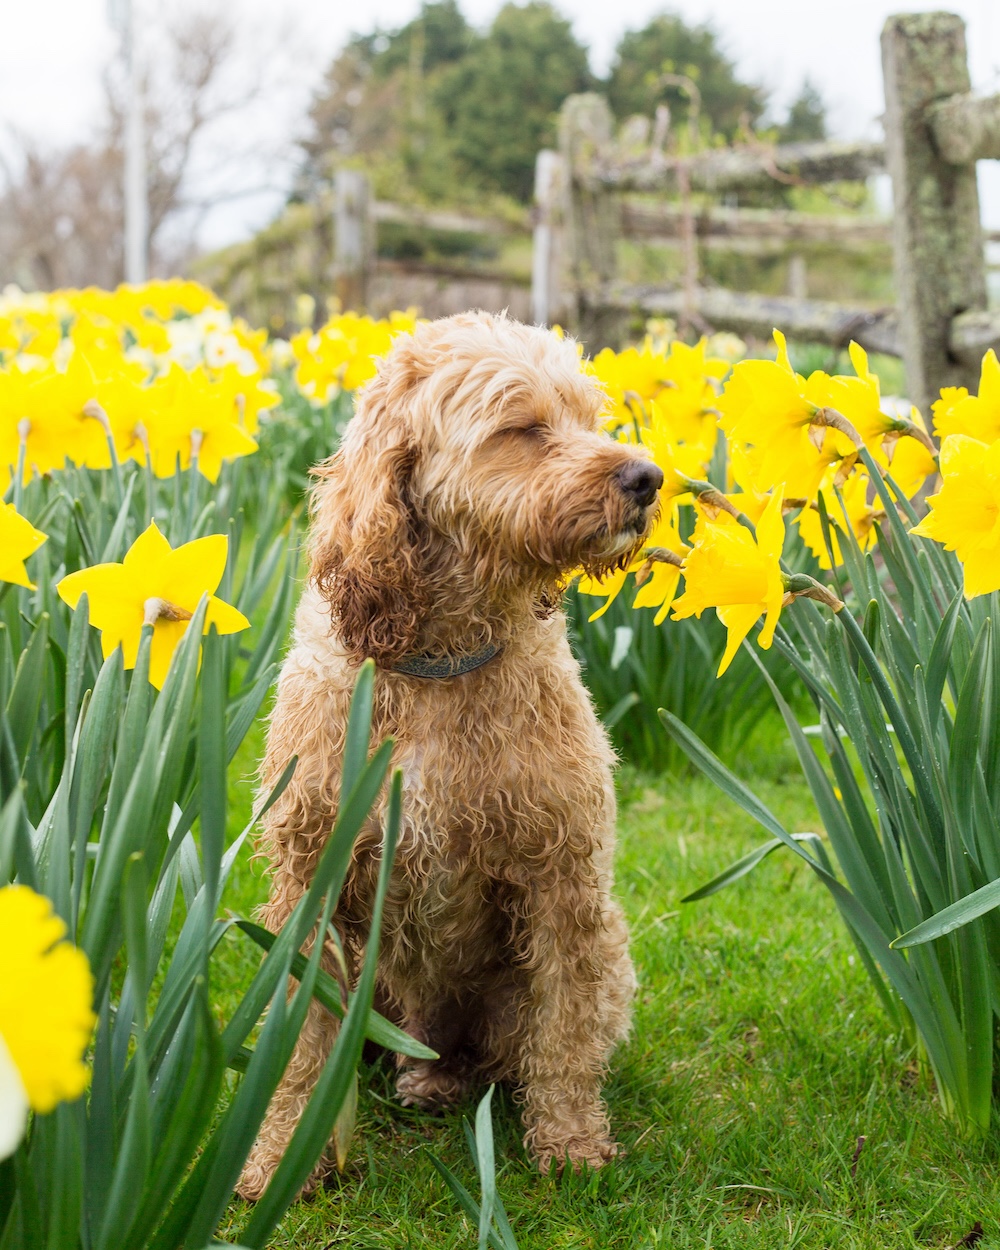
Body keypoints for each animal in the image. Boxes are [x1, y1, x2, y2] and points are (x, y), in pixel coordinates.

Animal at [238, 307, 665, 1195]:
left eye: (588, 418)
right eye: (524, 427)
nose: (649, 478)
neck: (439, 669)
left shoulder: (563, 882)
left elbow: (564, 1031)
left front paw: (570, 1146)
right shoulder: (310, 882)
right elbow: (298, 1051)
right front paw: (280, 1159)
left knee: (502, 1049)